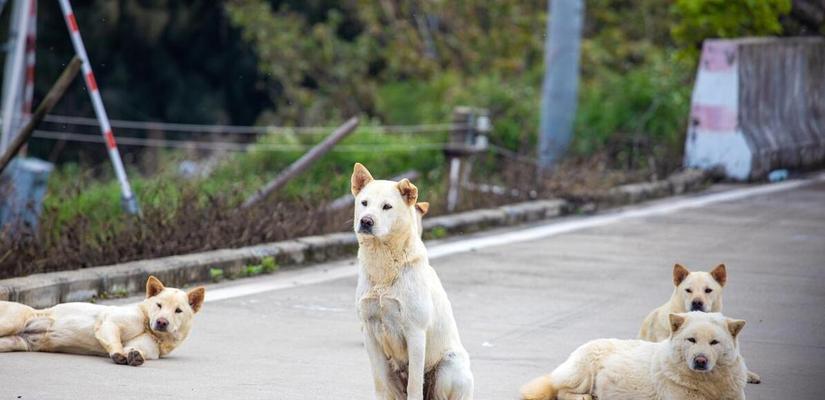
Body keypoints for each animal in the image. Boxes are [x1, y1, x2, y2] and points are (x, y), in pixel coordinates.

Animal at [0, 276, 204, 368]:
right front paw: (118, 354)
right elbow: (114, 337)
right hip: (14, 320)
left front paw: (134, 355)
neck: (148, 325)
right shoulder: (109, 323)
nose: (161, 322)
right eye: (158, 305)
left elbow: (134, 349)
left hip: (16, 342)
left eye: (178, 310)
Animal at [350, 163, 474, 400]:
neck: (384, 267)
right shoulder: (369, 332)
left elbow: (415, 384)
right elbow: (380, 383)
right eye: (364, 203)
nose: (366, 221)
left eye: (387, 206)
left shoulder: (415, 332)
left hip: (449, 366)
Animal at [520, 312, 748, 400]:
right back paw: (585, 396)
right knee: (560, 390)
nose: (700, 360)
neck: (709, 383)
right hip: (585, 369)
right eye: (691, 340)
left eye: (714, 342)